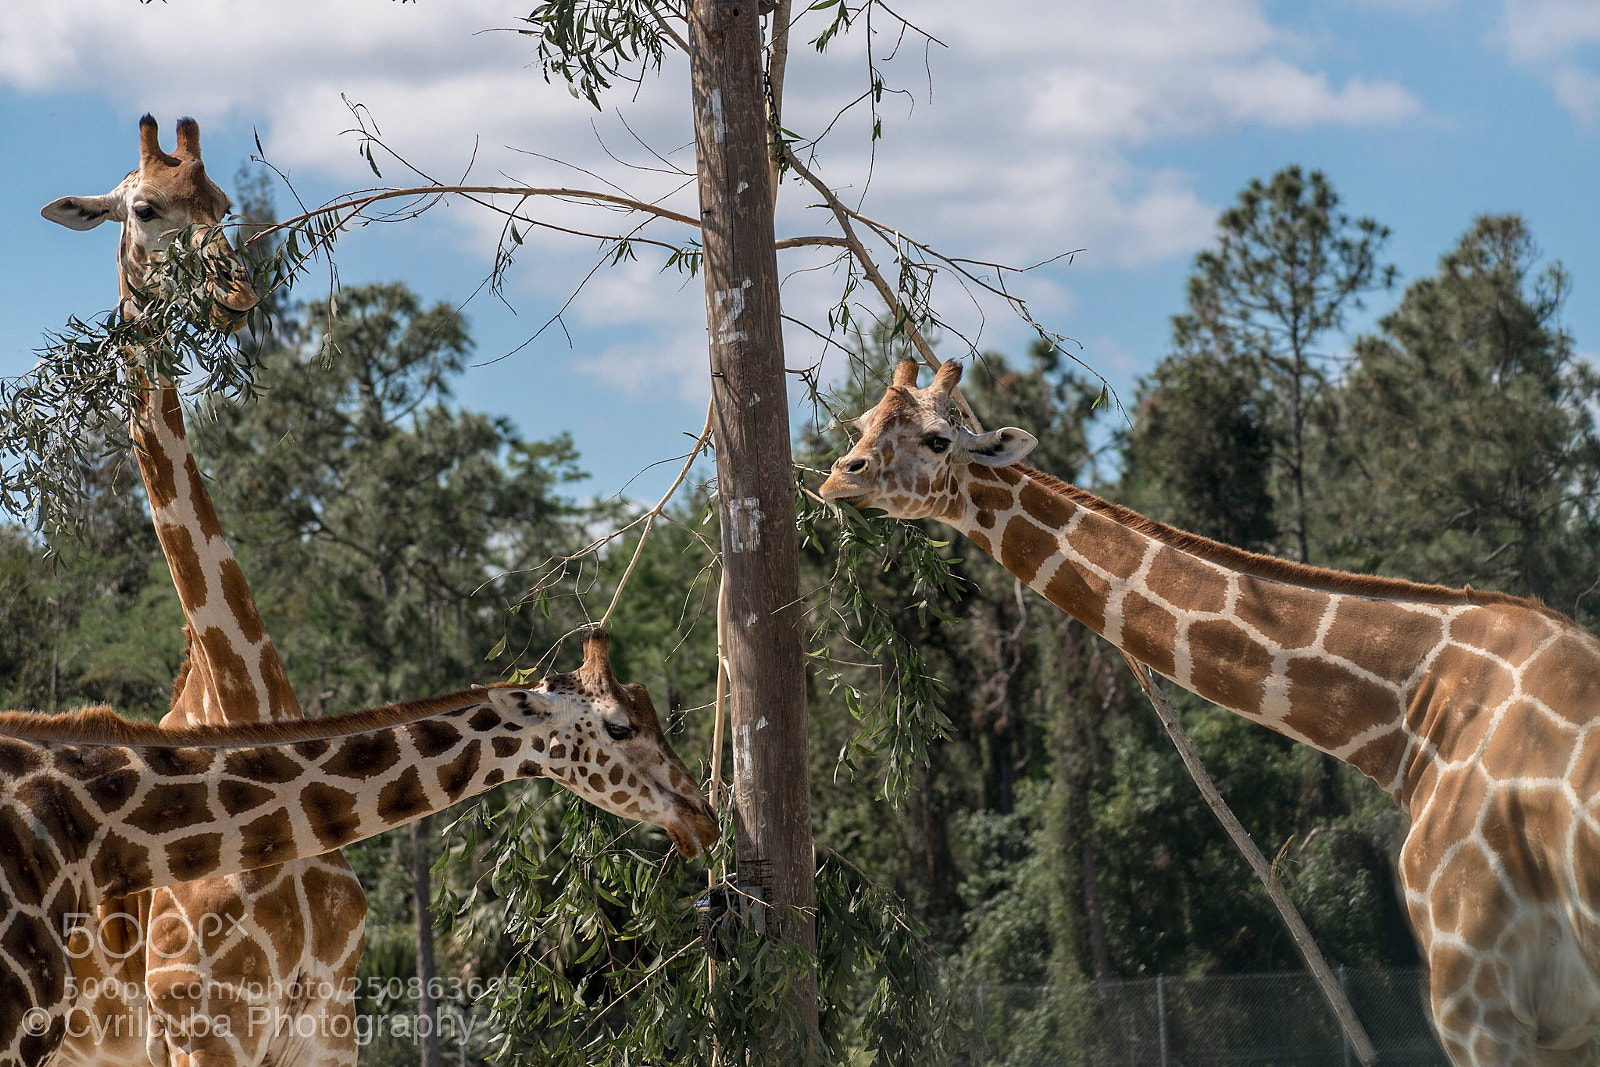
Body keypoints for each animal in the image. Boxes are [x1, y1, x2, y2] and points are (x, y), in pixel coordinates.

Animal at [820, 359, 1600, 1067]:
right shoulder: (1544, 1023)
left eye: (936, 440)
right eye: (860, 425)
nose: (837, 478)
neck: (1413, 719)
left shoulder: (1479, 998)